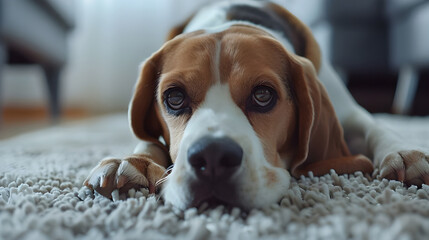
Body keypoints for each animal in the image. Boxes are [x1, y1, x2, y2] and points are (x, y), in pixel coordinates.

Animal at [83, 0, 428, 210]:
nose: (212, 156)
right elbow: (146, 140)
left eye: (263, 95)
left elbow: (376, 127)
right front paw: (132, 160)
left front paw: (406, 154)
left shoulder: (349, 112)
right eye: (175, 98)